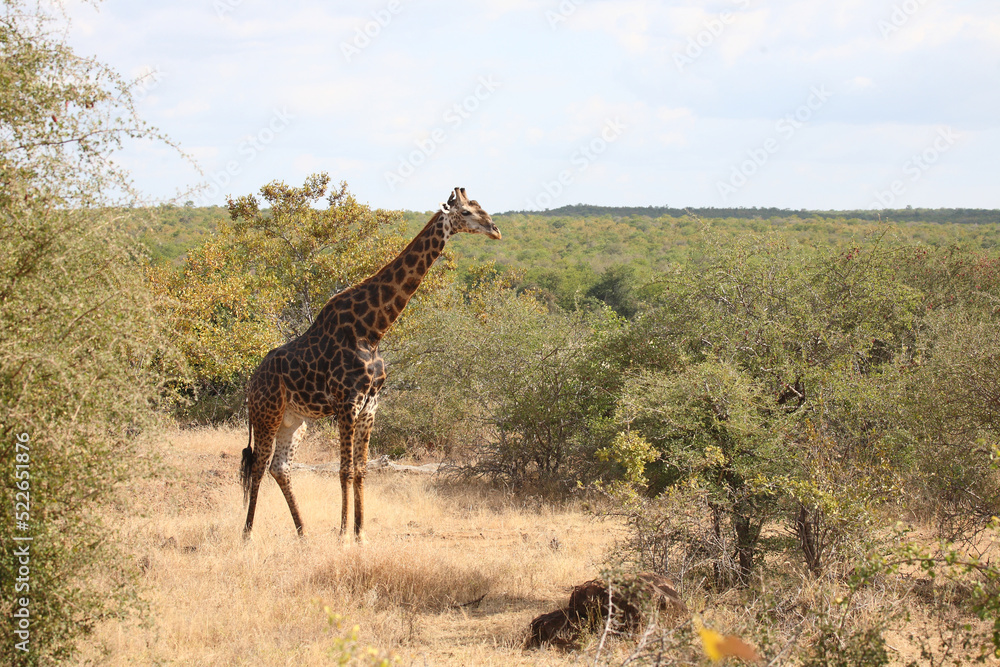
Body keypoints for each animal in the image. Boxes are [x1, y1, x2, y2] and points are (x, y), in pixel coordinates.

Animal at [240, 187, 500, 541]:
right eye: (467, 213)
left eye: (481, 206)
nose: (496, 230)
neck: (372, 330)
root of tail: (251, 382)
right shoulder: (347, 404)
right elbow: (345, 470)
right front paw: (342, 535)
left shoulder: (370, 406)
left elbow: (362, 470)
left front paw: (360, 534)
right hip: (267, 415)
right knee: (257, 466)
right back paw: (248, 534)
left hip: (294, 422)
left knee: (279, 467)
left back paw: (303, 532)